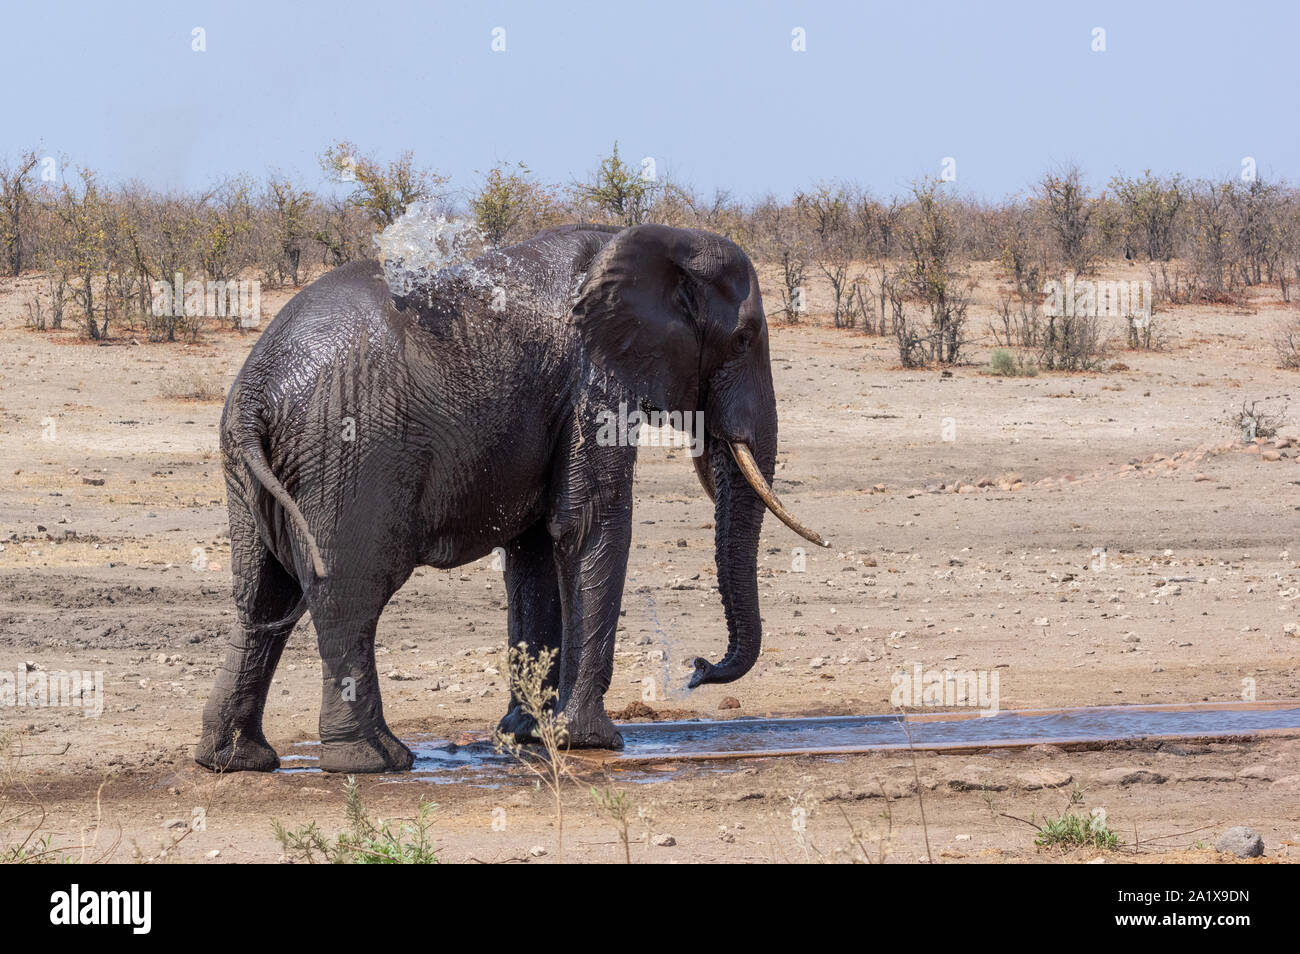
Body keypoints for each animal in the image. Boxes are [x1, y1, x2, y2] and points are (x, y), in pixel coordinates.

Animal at [192, 223, 821, 779]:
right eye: (743, 339)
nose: (696, 669)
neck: (649, 238)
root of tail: (257, 392)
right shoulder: (593, 382)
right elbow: (590, 525)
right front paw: (592, 740)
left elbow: (536, 551)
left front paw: (528, 734)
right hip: (351, 449)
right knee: (349, 595)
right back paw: (376, 762)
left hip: (253, 471)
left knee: (263, 598)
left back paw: (236, 761)